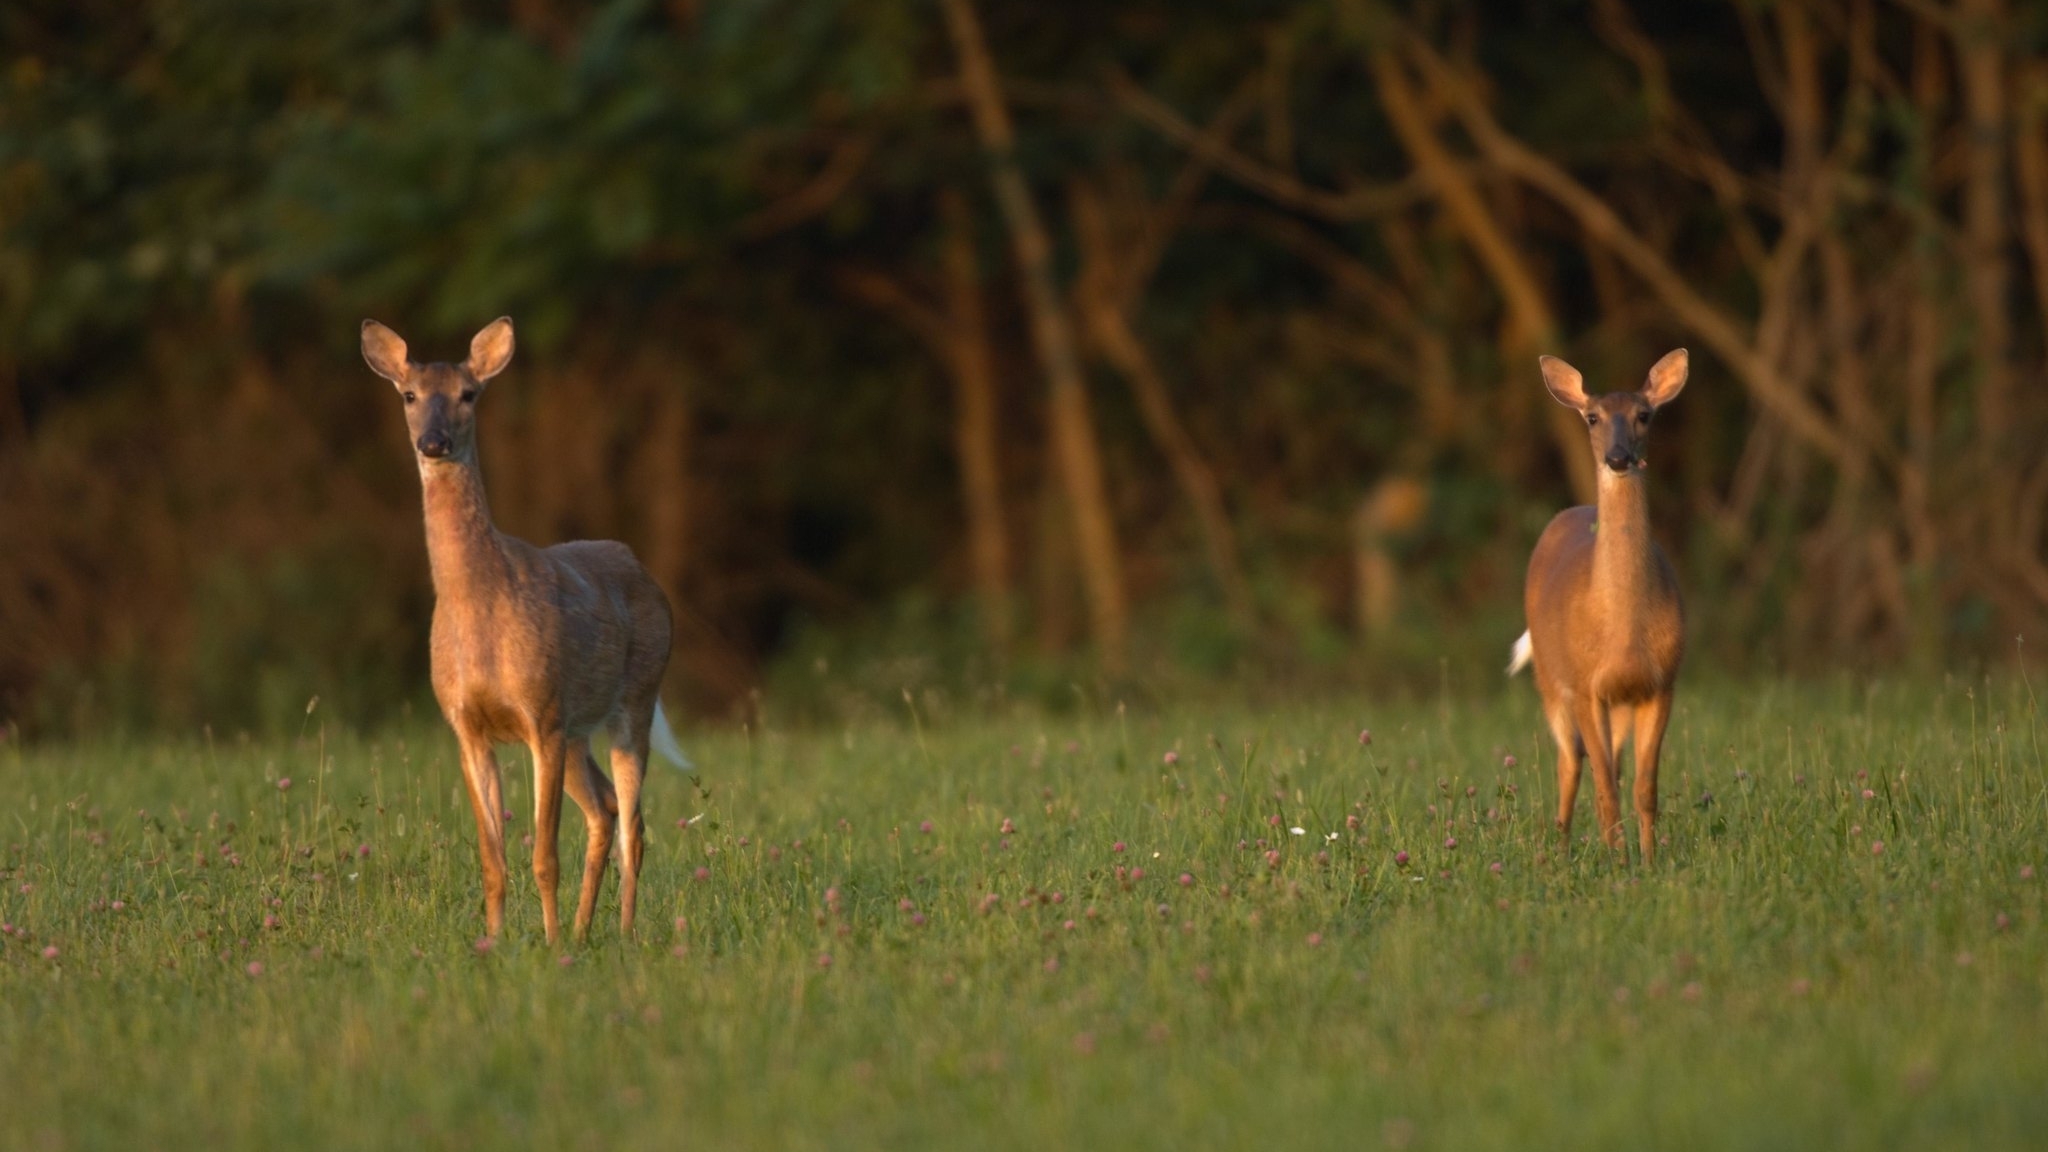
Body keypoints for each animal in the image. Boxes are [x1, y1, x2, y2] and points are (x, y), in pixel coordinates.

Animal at [364, 315, 692, 942]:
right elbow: (492, 859)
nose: (434, 442)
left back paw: (622, 933)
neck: (477, 608)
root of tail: (643, 569)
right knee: (606, 808)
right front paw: (494, 943)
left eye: (469, 394)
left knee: (634, 824)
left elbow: (543, 855)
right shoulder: (466, 726)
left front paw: (549, 943)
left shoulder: (542, 714)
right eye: (409, 395)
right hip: (579, 729)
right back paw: (588, 932)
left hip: (635, 698)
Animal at [1515, 350, 1687, 860]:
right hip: (1550, 678)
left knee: (1611, 765)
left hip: (1618, 705)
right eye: (1592, 417)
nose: (1617, 458)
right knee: (1572, 761)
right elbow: (1605, 785)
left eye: (1644, 415)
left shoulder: (1660, 684)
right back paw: (1560, 849)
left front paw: (1648, 861)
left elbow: (1644, 787)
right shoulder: (1584, 686)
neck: (1621, 630)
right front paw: (1617, 863)